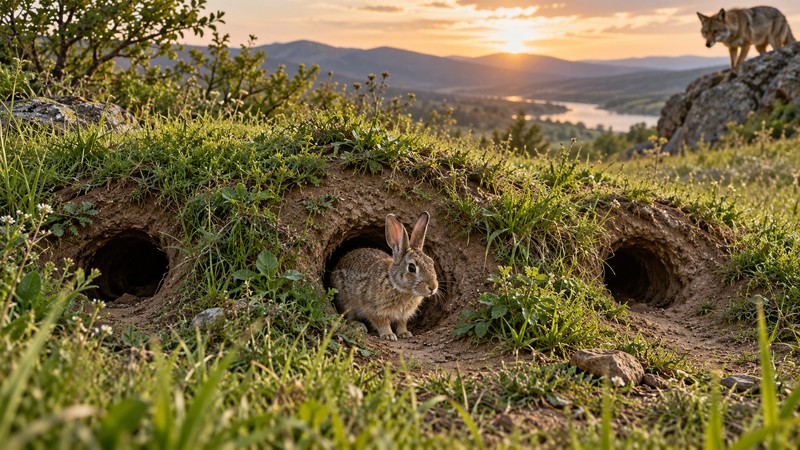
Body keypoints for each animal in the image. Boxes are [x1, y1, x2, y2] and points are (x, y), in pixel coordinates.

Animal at [330, 211, 439, 341]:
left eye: (432, 262)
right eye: (412, 268)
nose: (433, 287)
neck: (395, 284)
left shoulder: (402, 315)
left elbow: (401, 323)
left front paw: (404, 333)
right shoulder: (374, 308)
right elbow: (382, 322)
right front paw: (388, 335)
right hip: (346, 301)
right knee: (348, 317)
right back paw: (359, 326)